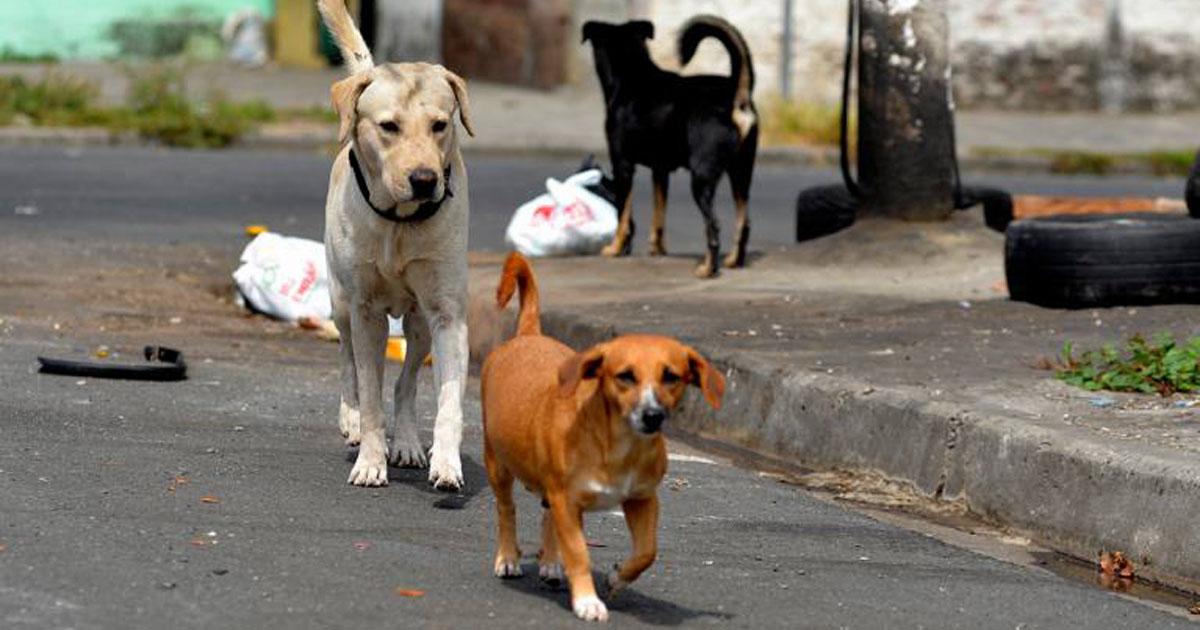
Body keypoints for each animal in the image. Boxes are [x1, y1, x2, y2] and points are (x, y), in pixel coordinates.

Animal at [319, 0, 472, 489]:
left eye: (440, 125)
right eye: (388, 126)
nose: (424, 180)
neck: (400, 224)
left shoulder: (445, 312)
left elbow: (448, 400)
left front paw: (447, 461)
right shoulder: (365, 310)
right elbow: (370, 394)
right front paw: (370, 458)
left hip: (418, 323)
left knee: (406, 384)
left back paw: (405, 441)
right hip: (340, 300)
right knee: (348, 360)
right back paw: (351, 420)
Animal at [482, 252, 724, 619]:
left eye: (671, 376)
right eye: (625, 376)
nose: (652, 415)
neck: (618, 446)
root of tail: (528, 334)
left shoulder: (642, 499)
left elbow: (647, 552)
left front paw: (616, 578)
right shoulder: (567, 501)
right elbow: (578, 551)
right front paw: (587, 600)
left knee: (546, 515)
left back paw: (551, 563)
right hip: (497, 465)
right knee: (506, 510)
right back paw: (508, 557)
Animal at [580, 15, 758, 276]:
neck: (632, 75)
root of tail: (736, 95)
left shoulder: (622, 165)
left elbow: (623, 213)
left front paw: (615, 248)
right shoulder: (660, 171)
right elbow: (659, 213)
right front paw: (657, 249)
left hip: (702, 177)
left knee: (713, 225)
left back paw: (708, 269)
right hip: (742, 172)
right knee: (743, 221)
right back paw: (734, 260)